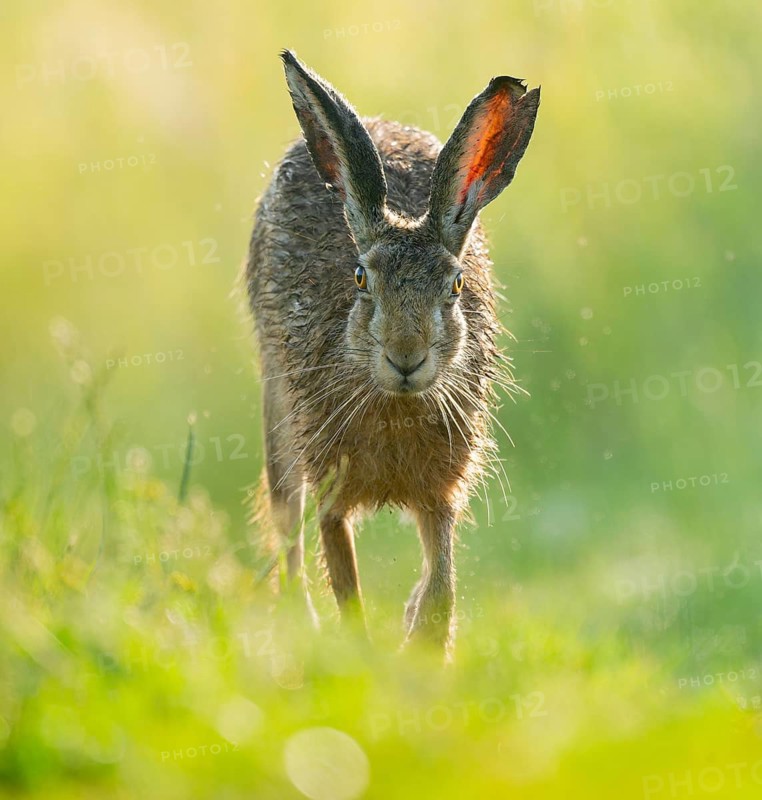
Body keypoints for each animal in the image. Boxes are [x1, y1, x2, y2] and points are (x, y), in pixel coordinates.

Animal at [245, 49, 539, 655]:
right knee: (286, 526)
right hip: (278, 417)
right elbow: (344, 582)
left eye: (456, 285)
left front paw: (419, 643)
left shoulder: (441, 496)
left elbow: (441, 586)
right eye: (361, 279)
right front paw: (363, 654)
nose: (407, 356)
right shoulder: (331, 490)